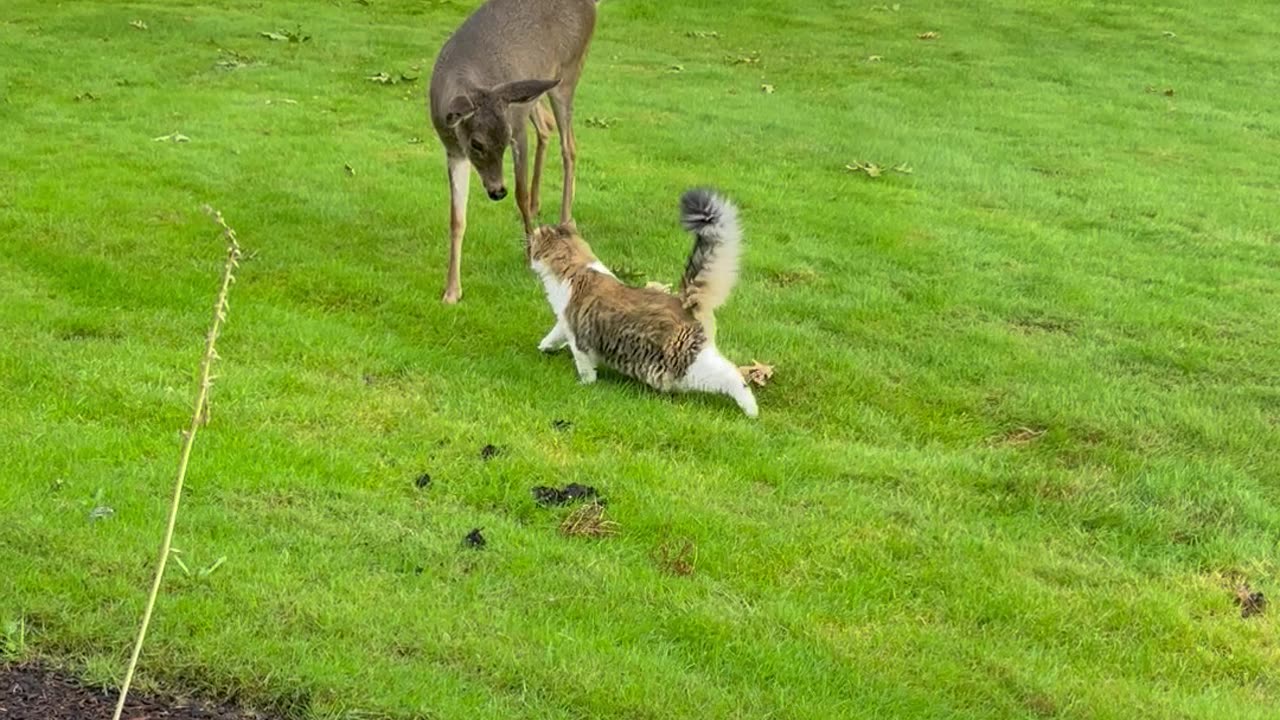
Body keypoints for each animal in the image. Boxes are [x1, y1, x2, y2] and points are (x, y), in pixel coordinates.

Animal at [424, 0, 593, 302]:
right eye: (477, 143)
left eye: (504, 141)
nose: (497, 191)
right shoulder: (453, 149)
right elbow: (457, 218)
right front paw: (452, 291)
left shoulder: (517, 129)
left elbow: (520, 195)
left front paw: (531, 256)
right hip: (535, 92)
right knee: (547, 125)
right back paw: (540, 205)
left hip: (568, 73)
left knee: (570, 145)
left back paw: (565, 221)